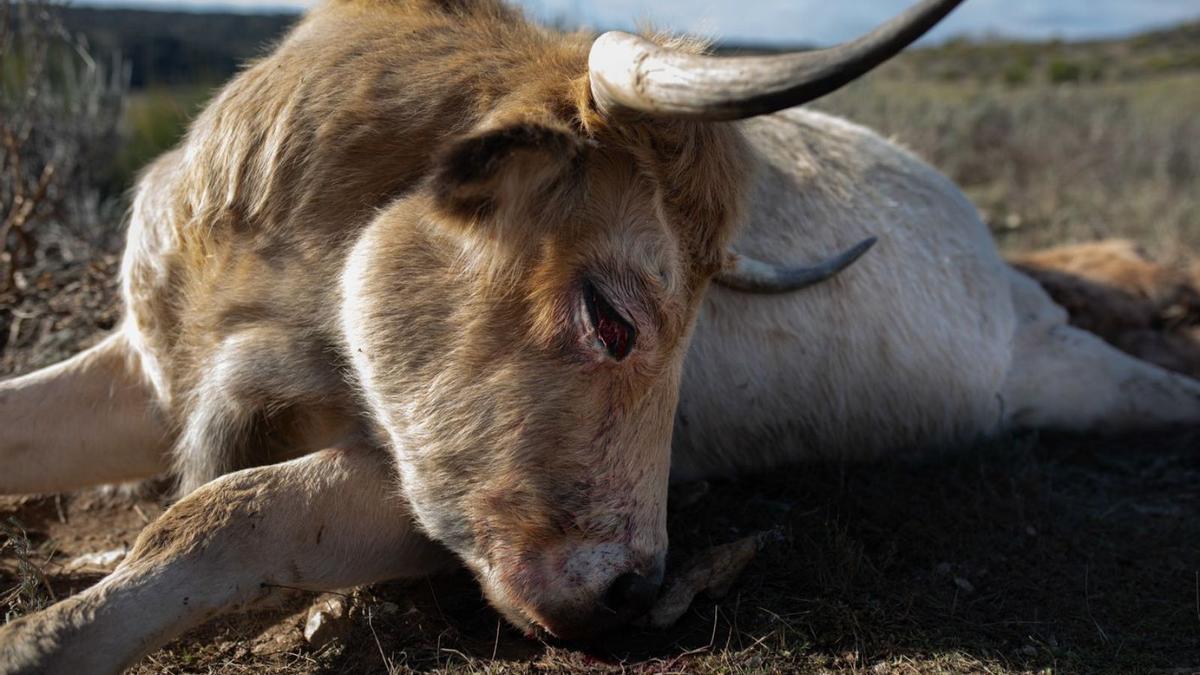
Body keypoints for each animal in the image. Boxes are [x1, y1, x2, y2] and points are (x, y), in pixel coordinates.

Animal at [2, 0, 1200, 667]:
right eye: (612, 316)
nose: (632, 592)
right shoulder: (148, 365)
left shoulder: (410, 489)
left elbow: (222, 513)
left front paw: (44, 636)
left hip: (1071, 373)